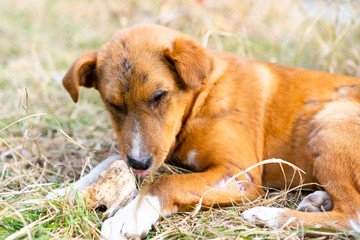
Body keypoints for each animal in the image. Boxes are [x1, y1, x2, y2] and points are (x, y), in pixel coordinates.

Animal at [55, 23, 360, 238]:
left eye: (159, 96)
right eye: (112, 104)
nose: (139, 163)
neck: (202, 98)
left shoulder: (239, 174)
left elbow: (165, 182)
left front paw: (130, 216)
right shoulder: (156, 149)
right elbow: (113, 158)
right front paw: (67, 191)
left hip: (330, 124)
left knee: (352, 216)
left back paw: (268, 216)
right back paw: (317, 200)